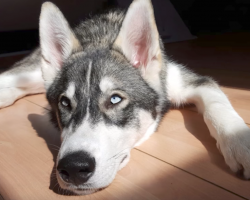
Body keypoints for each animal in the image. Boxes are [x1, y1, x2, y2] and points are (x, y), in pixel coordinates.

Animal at [0, 0, 250, 195]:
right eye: (65, 102)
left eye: (115, 99)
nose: (73, 168)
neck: (101, 39)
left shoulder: (189, 81)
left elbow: (217, 103)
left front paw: (240, 142)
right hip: (30, 71)